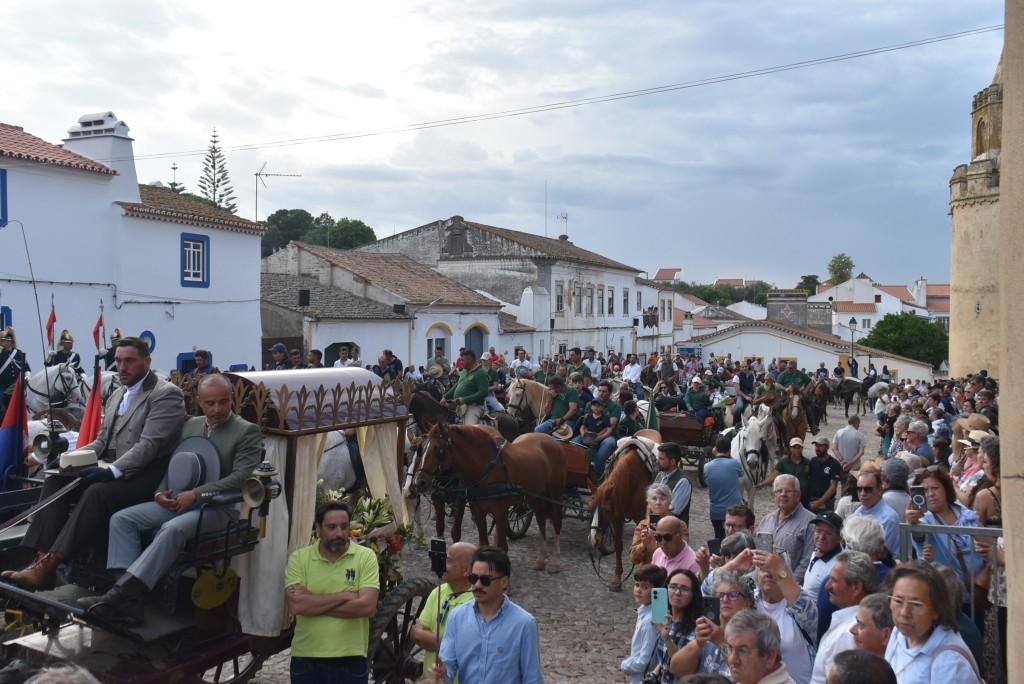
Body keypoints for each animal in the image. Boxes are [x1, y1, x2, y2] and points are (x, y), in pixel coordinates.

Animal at [414, 423, 565, 571]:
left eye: (439, 450)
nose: (419, 482)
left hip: (555, 493)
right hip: (534, 497)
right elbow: (483, 544)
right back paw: (541, 559)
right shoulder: (478, 511)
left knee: (557, 521)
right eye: (422, 448)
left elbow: (503, 546)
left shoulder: (499, 510)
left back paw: (555, 561)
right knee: (541, 520)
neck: (486, 468)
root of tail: (552, 440)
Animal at [587, 432, 661, 591]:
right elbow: (618, 545)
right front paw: (617, 578)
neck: (632, 480)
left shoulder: (641, 517)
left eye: (606, 509)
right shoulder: (617, 517)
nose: (594, 539)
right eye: (589, 508)